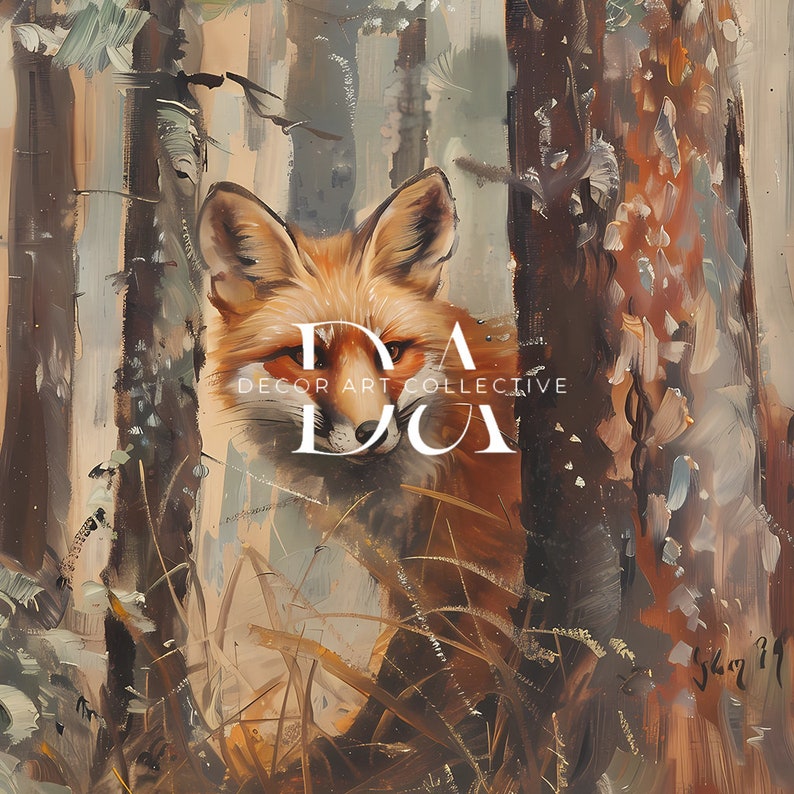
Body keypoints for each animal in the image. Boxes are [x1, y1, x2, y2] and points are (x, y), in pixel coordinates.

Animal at [198, 169, 530, 791]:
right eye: (307, 357)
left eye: (392, 352)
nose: (370, 431)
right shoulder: (423, 590)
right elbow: (402, 685)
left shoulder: (486, 578)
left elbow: (430, 694)